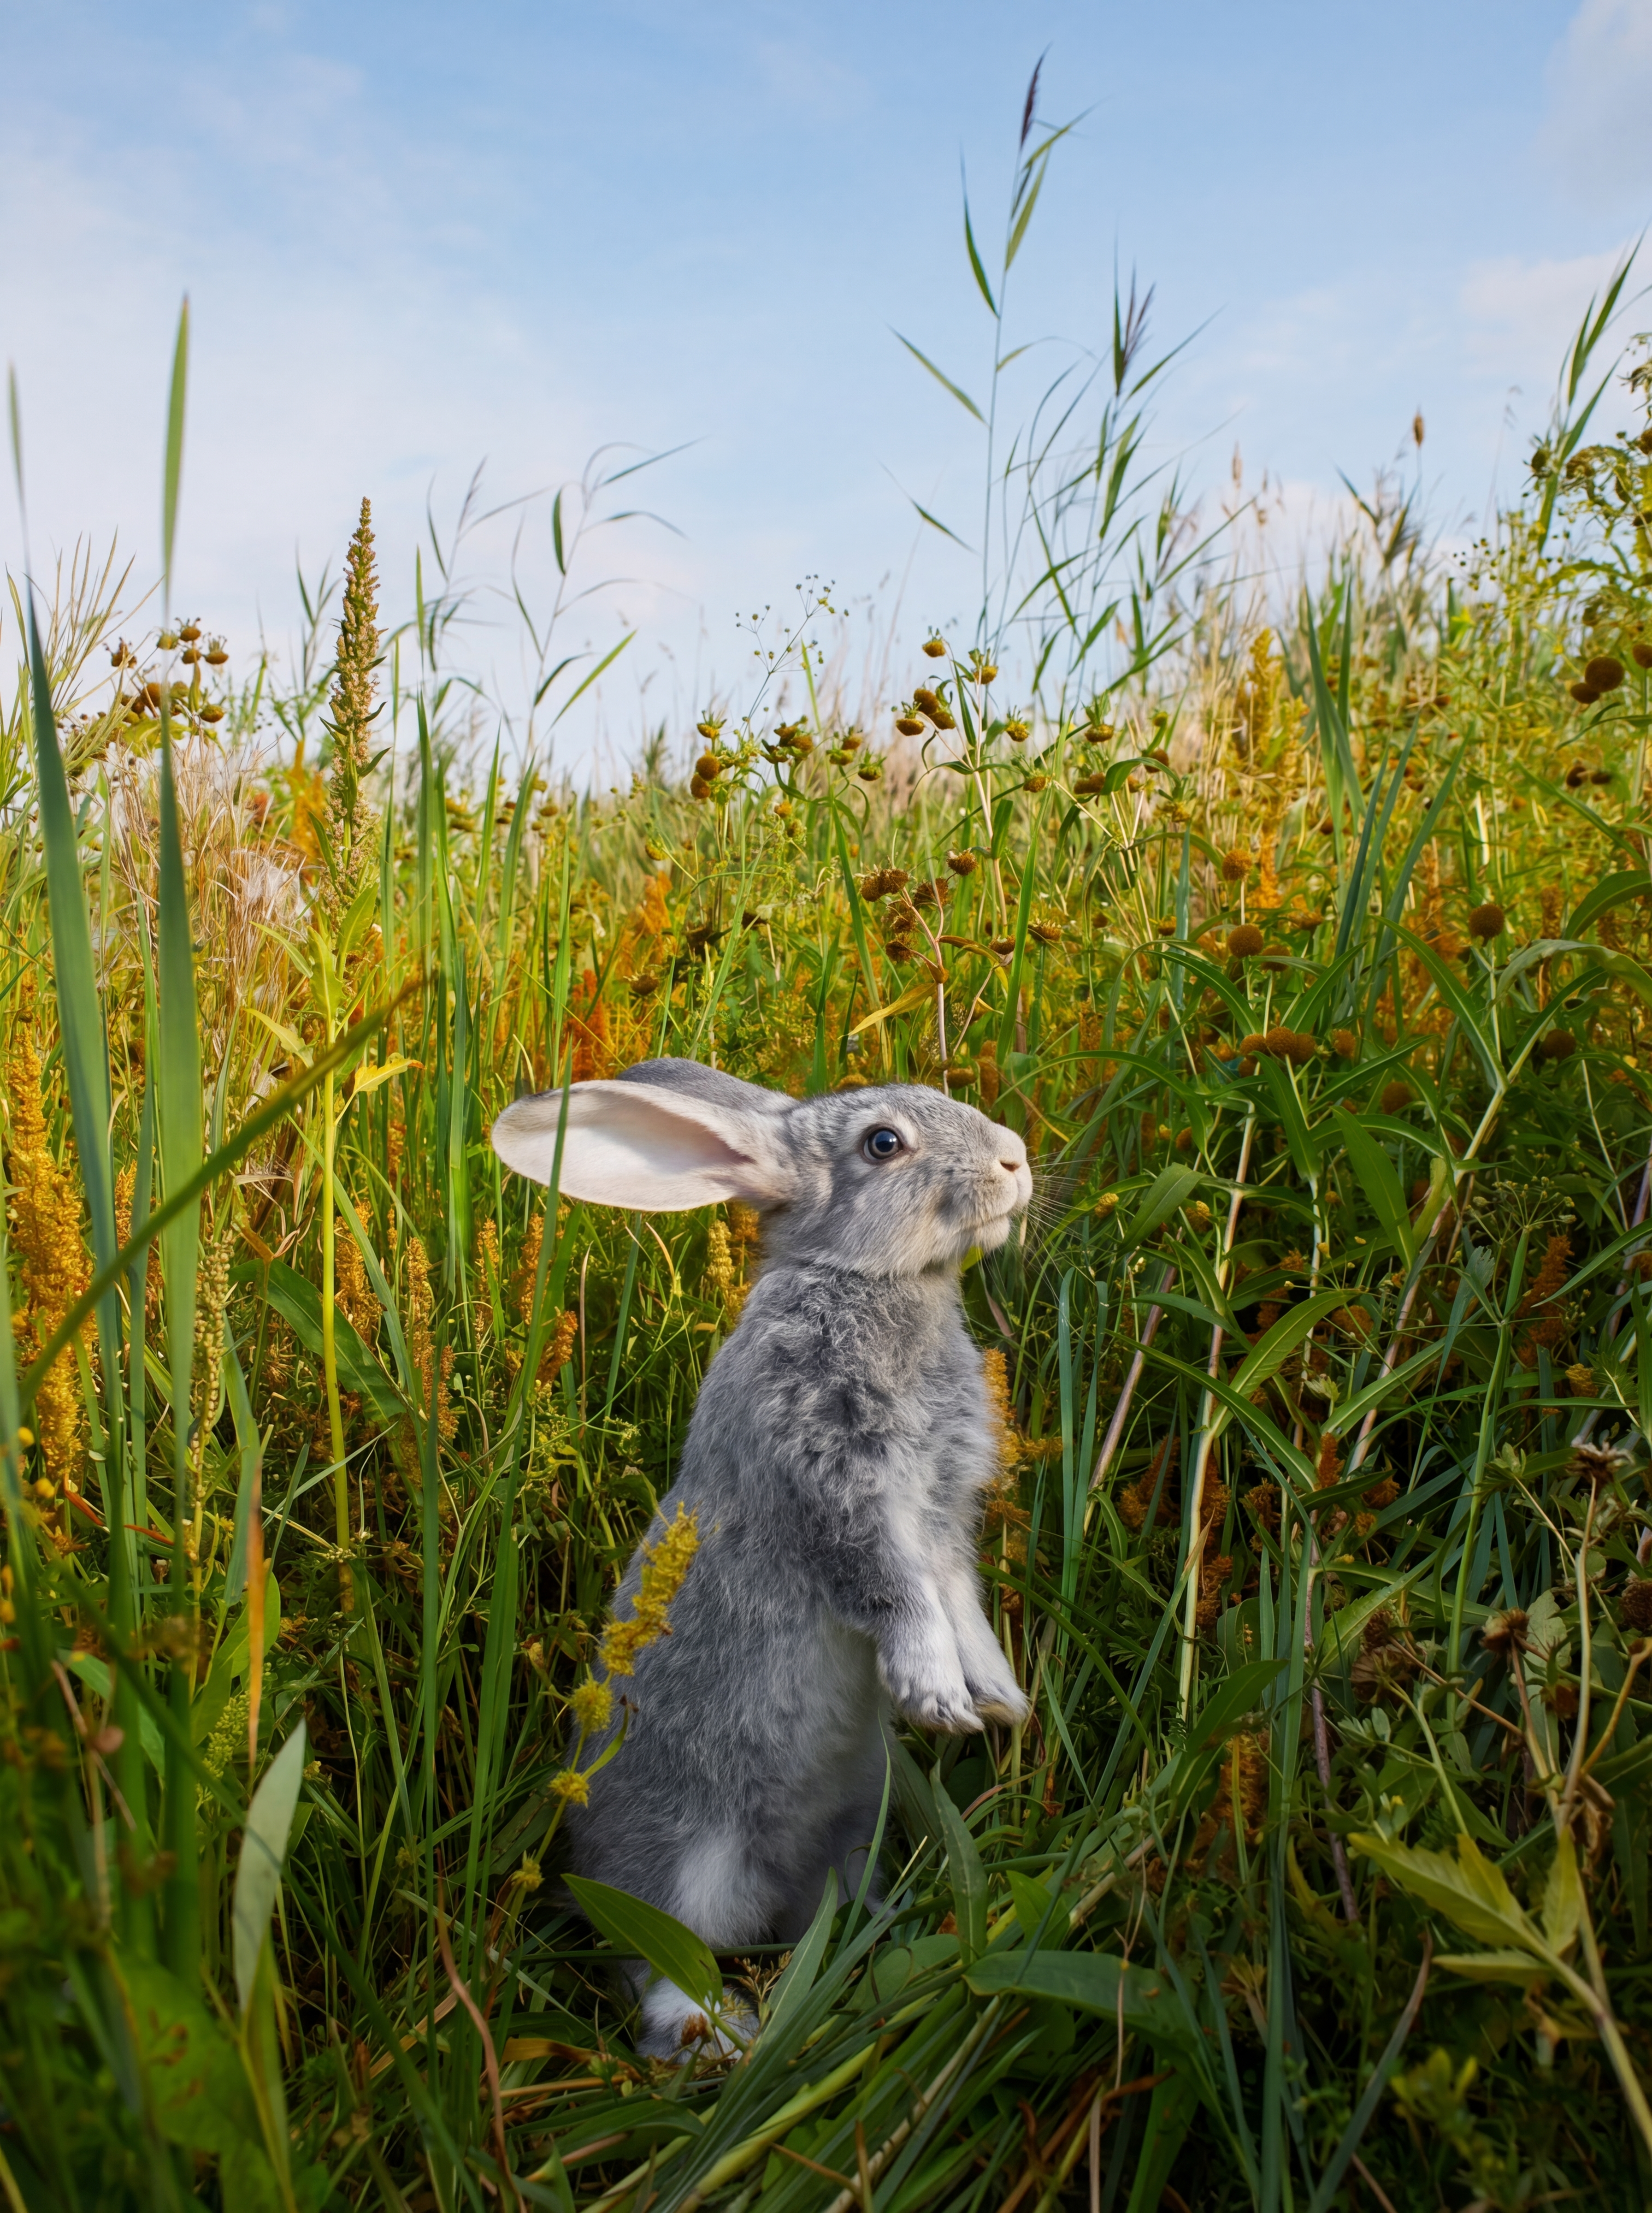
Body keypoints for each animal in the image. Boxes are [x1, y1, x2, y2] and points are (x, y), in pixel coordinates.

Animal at [490, 1057, 1032, 2057]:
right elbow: (897, 1597)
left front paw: (998, 1700)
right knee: (654, 1963)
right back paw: (720, 2036)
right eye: (882, 1144)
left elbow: (959, 1603)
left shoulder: (942, 1524)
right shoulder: (836, 1498)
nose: (1014, 1158)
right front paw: (934, 1699)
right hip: (673, 1862)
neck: (869, 1284)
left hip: (851, 1826)